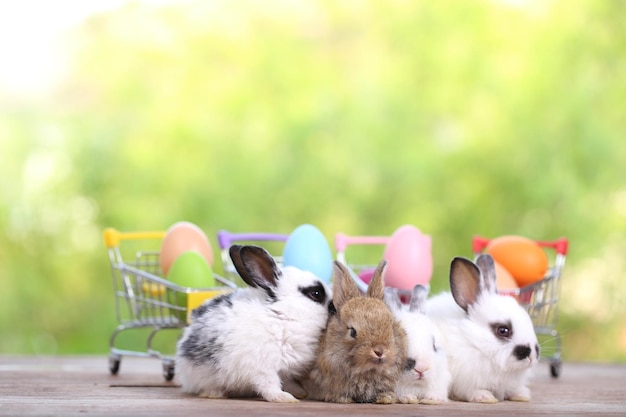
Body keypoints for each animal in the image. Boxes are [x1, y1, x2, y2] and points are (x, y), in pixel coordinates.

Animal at [174, 245, 332, 402]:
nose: (333, 306)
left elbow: (286, 381)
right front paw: (283, 398)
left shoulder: (284, 369)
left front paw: (299, 392)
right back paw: (215, 393)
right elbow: (269, 384)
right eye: (316, 294)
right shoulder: (262, 367)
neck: (281, 316)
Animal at [304, 260, 410, 404]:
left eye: (391, 326)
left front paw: (386, 397)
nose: (380, 351)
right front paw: (341, 398)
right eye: (353, 332)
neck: (367, 371)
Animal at [426, 252, 540, 402]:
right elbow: (470, 390)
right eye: (503, 330)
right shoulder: (464, 381)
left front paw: (522, 395)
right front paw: (484, 396)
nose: (532, 355)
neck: (473, 342)